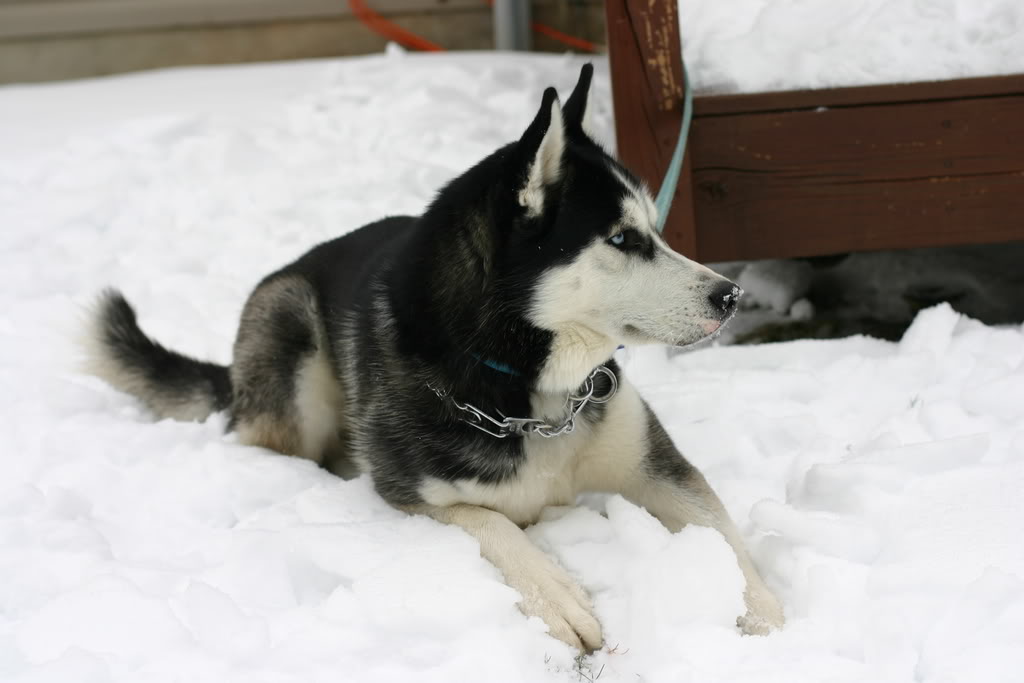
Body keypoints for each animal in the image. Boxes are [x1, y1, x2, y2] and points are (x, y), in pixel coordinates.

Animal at [88, 63, 786, 651]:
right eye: (621, 238)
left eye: (656, 231)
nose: (730, 295)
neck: (529, 395)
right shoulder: (414, 496)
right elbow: (491, 524)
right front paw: (557, 596)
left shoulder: (652, 465)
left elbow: (719, 533)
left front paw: (768, 616)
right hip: (290, 327)